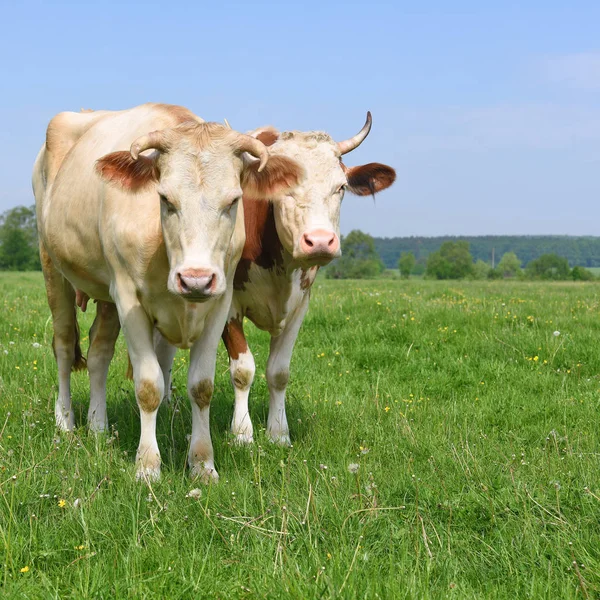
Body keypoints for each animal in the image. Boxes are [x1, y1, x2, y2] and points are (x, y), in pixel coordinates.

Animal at [31, 101, 302, 480]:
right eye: (165, 199)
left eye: (234, 201)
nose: (196, 279)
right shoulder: (128, 298)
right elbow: (149, 386)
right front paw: (147, 466)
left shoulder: (221, 303)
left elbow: (201, 387)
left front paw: (202, 464)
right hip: (52, 267)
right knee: (64, 345)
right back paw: (66, 423)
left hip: (105, 293)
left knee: (99, 352)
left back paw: (98, 426)